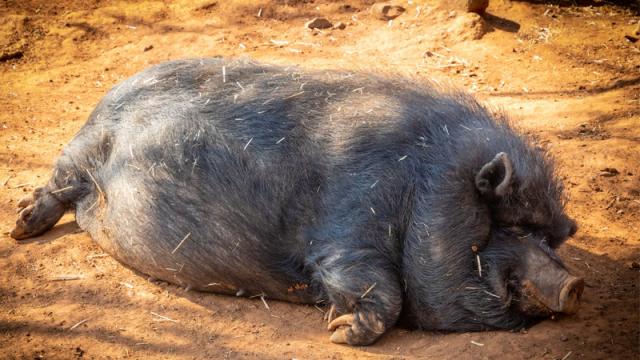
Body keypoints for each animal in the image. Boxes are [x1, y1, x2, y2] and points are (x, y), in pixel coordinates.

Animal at [10, 58, 584, 346]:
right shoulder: (346, 233)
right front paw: (337, 333)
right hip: (80, 150)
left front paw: (336, 328)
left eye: (551, 237)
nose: (575, 284)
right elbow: (382, 290)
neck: (421, 189)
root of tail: (106, 97)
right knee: (57, 184)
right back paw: (19, 228)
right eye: (513, 226)